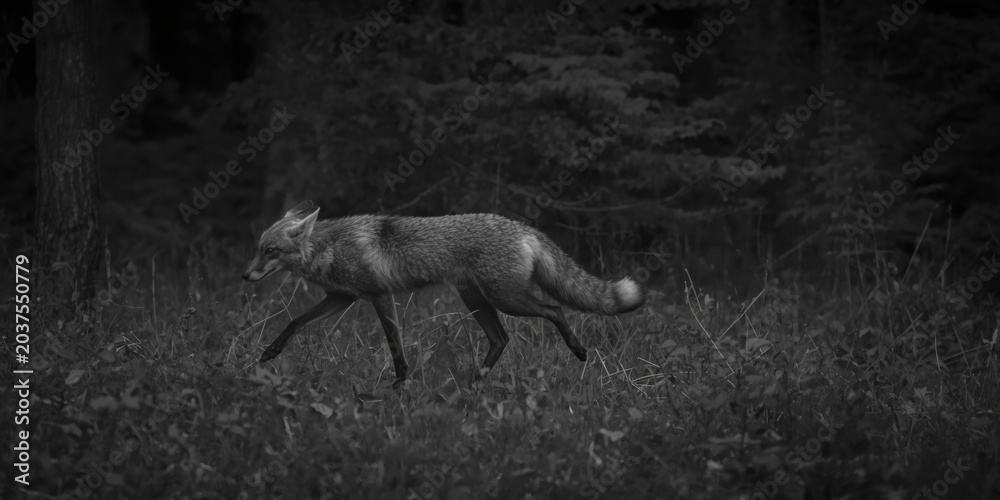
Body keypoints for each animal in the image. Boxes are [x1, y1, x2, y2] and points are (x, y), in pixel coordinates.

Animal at [242, 200, 646, 387]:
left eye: (270, 251)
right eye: (258, 249)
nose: (244, 276)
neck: (328, 248)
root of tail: (521, 227)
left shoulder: (378, 296)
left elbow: (395, 345)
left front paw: (400, 382)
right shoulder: (343, 297)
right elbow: (295, 321)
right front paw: (271, 352)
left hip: (506, 299)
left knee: (554, 310)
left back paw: (577, 350)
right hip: (477, 301)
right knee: (501, 339)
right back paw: (475, 381)